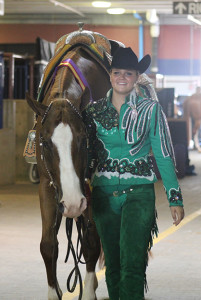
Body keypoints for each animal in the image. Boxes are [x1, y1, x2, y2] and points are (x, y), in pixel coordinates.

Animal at [25, 27, 120, 298]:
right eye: (44, 142)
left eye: (83, 139)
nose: (73, 203)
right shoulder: (47, 186)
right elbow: (48, 245)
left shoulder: (92, 187)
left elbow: (91, 242)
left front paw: (88, 291)